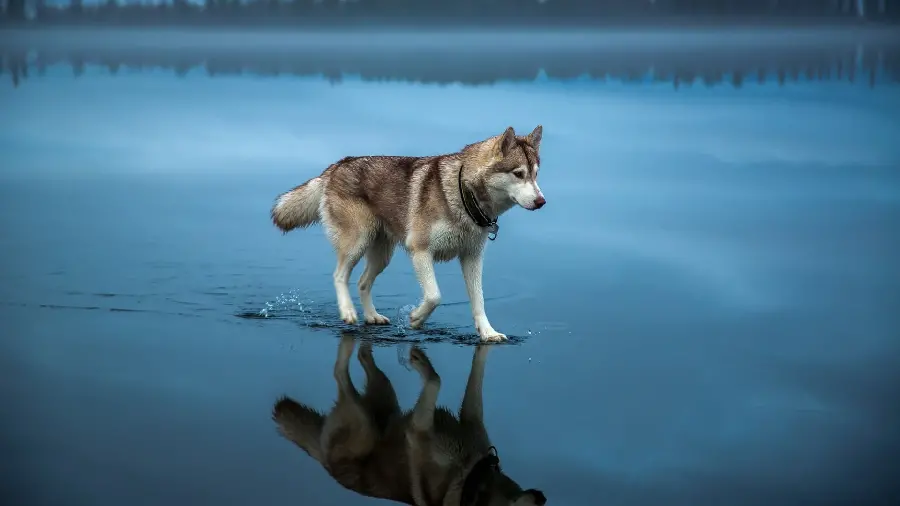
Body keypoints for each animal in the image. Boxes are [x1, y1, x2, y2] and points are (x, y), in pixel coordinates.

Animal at [270, 125, 544, 344]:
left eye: (535, 174)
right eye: (518, 174)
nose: (542, 201)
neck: (463, 193)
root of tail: (337, 165)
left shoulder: (472, 257)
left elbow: (479, 301)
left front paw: (488, 333)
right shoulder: (420, 250)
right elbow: (434, 296)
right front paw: (416, 319)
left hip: (382, 255)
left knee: (362, 282)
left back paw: (372, 316)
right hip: (357, 242)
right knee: (339, 275)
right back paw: (348, 312)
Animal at [270, 334, 544, 504]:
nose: (543, 498)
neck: (473, 479)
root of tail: (325, 465)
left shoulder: (470, 418)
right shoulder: (418, 430)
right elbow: (436, 380)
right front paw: (420, 362)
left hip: (384, 396)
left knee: (363, 360)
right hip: (363, 424)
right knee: (339, 373)